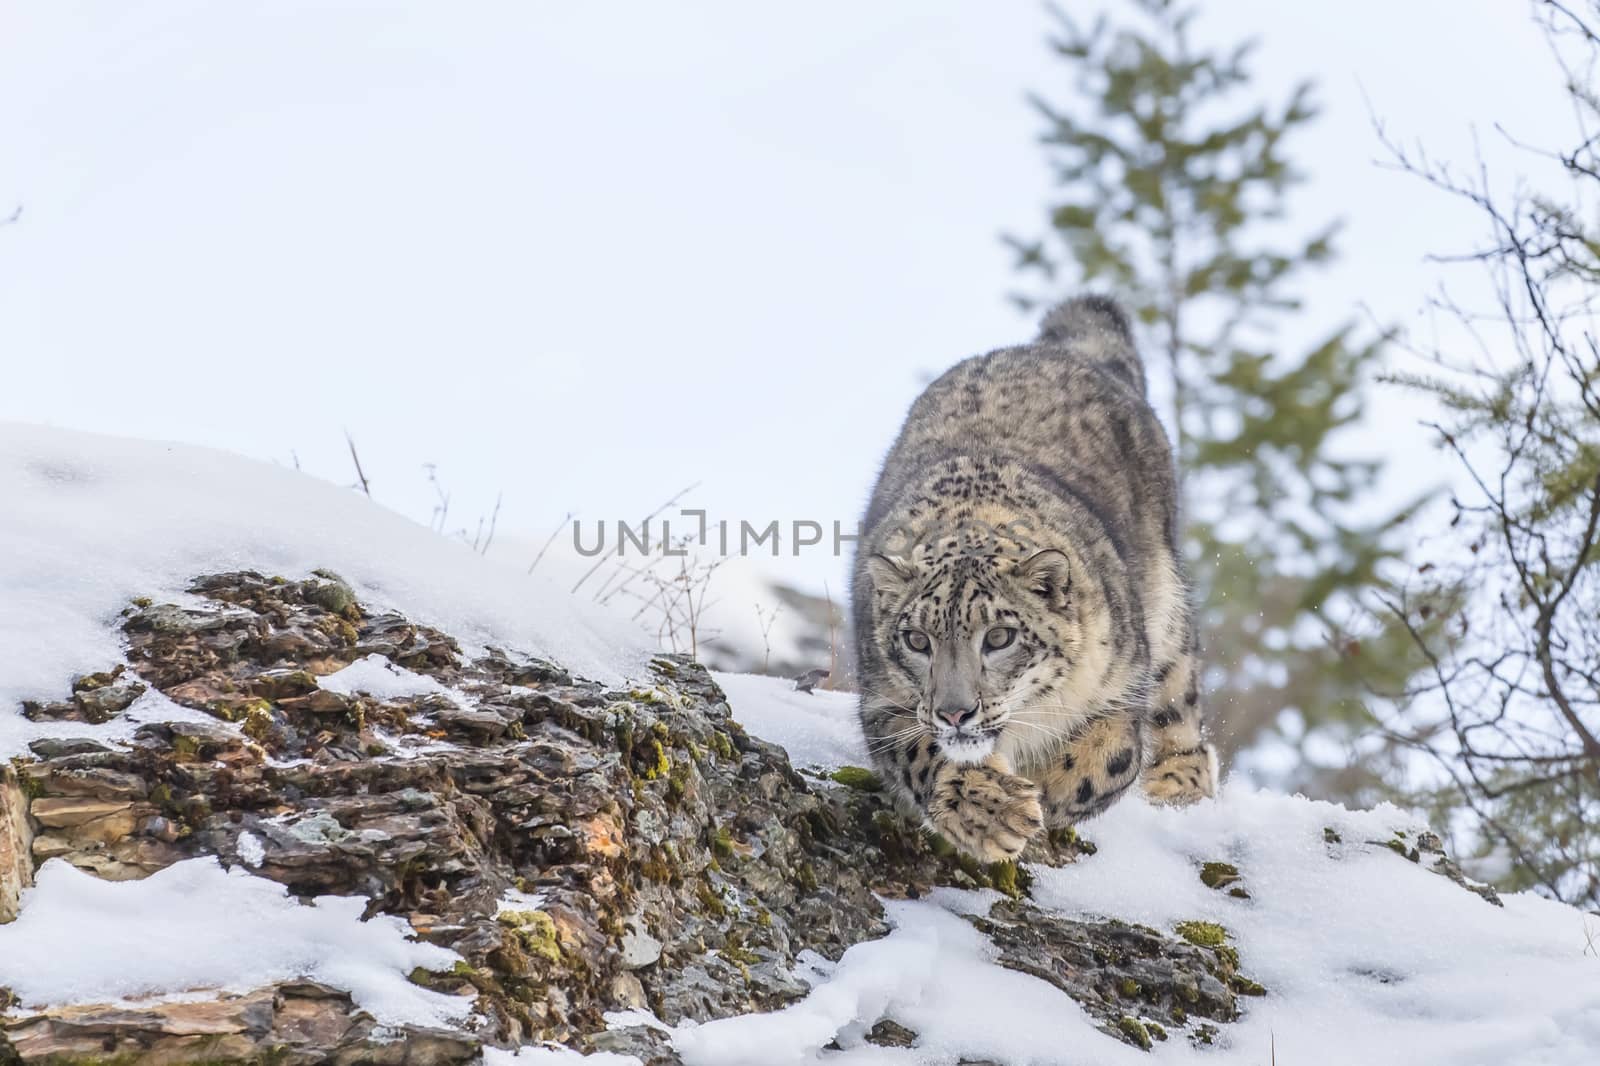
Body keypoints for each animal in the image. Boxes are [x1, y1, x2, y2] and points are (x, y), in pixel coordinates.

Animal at [851, 294, 1209, 857]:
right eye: (916, 640)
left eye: (999, 637)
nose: (956, 712)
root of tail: (1062, 351)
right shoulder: (883, 702)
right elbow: (925, 753)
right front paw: (990, 807)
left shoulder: (1122, 688)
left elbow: (1108, 759)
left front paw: (1042, 795)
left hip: (1165, 604)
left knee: (1180, 690)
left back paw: (1178, 783)